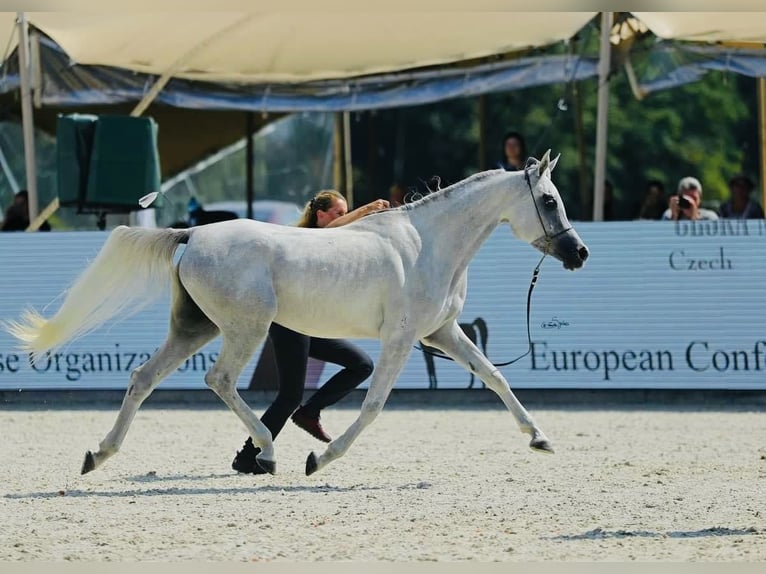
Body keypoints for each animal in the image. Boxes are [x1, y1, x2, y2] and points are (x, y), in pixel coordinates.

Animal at [5, 150, 588, 477]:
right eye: (550, 200)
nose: (579, 253)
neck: (427, 244)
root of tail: (192, 234)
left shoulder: (441, 333)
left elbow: (495, 379)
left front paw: (539, 437)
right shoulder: (401, 340)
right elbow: (373, 406)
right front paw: (319, 460)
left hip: (194, 328)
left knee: (142, 378)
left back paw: (99, 455)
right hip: (245, 328)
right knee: (220, 381)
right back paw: (264, 454)